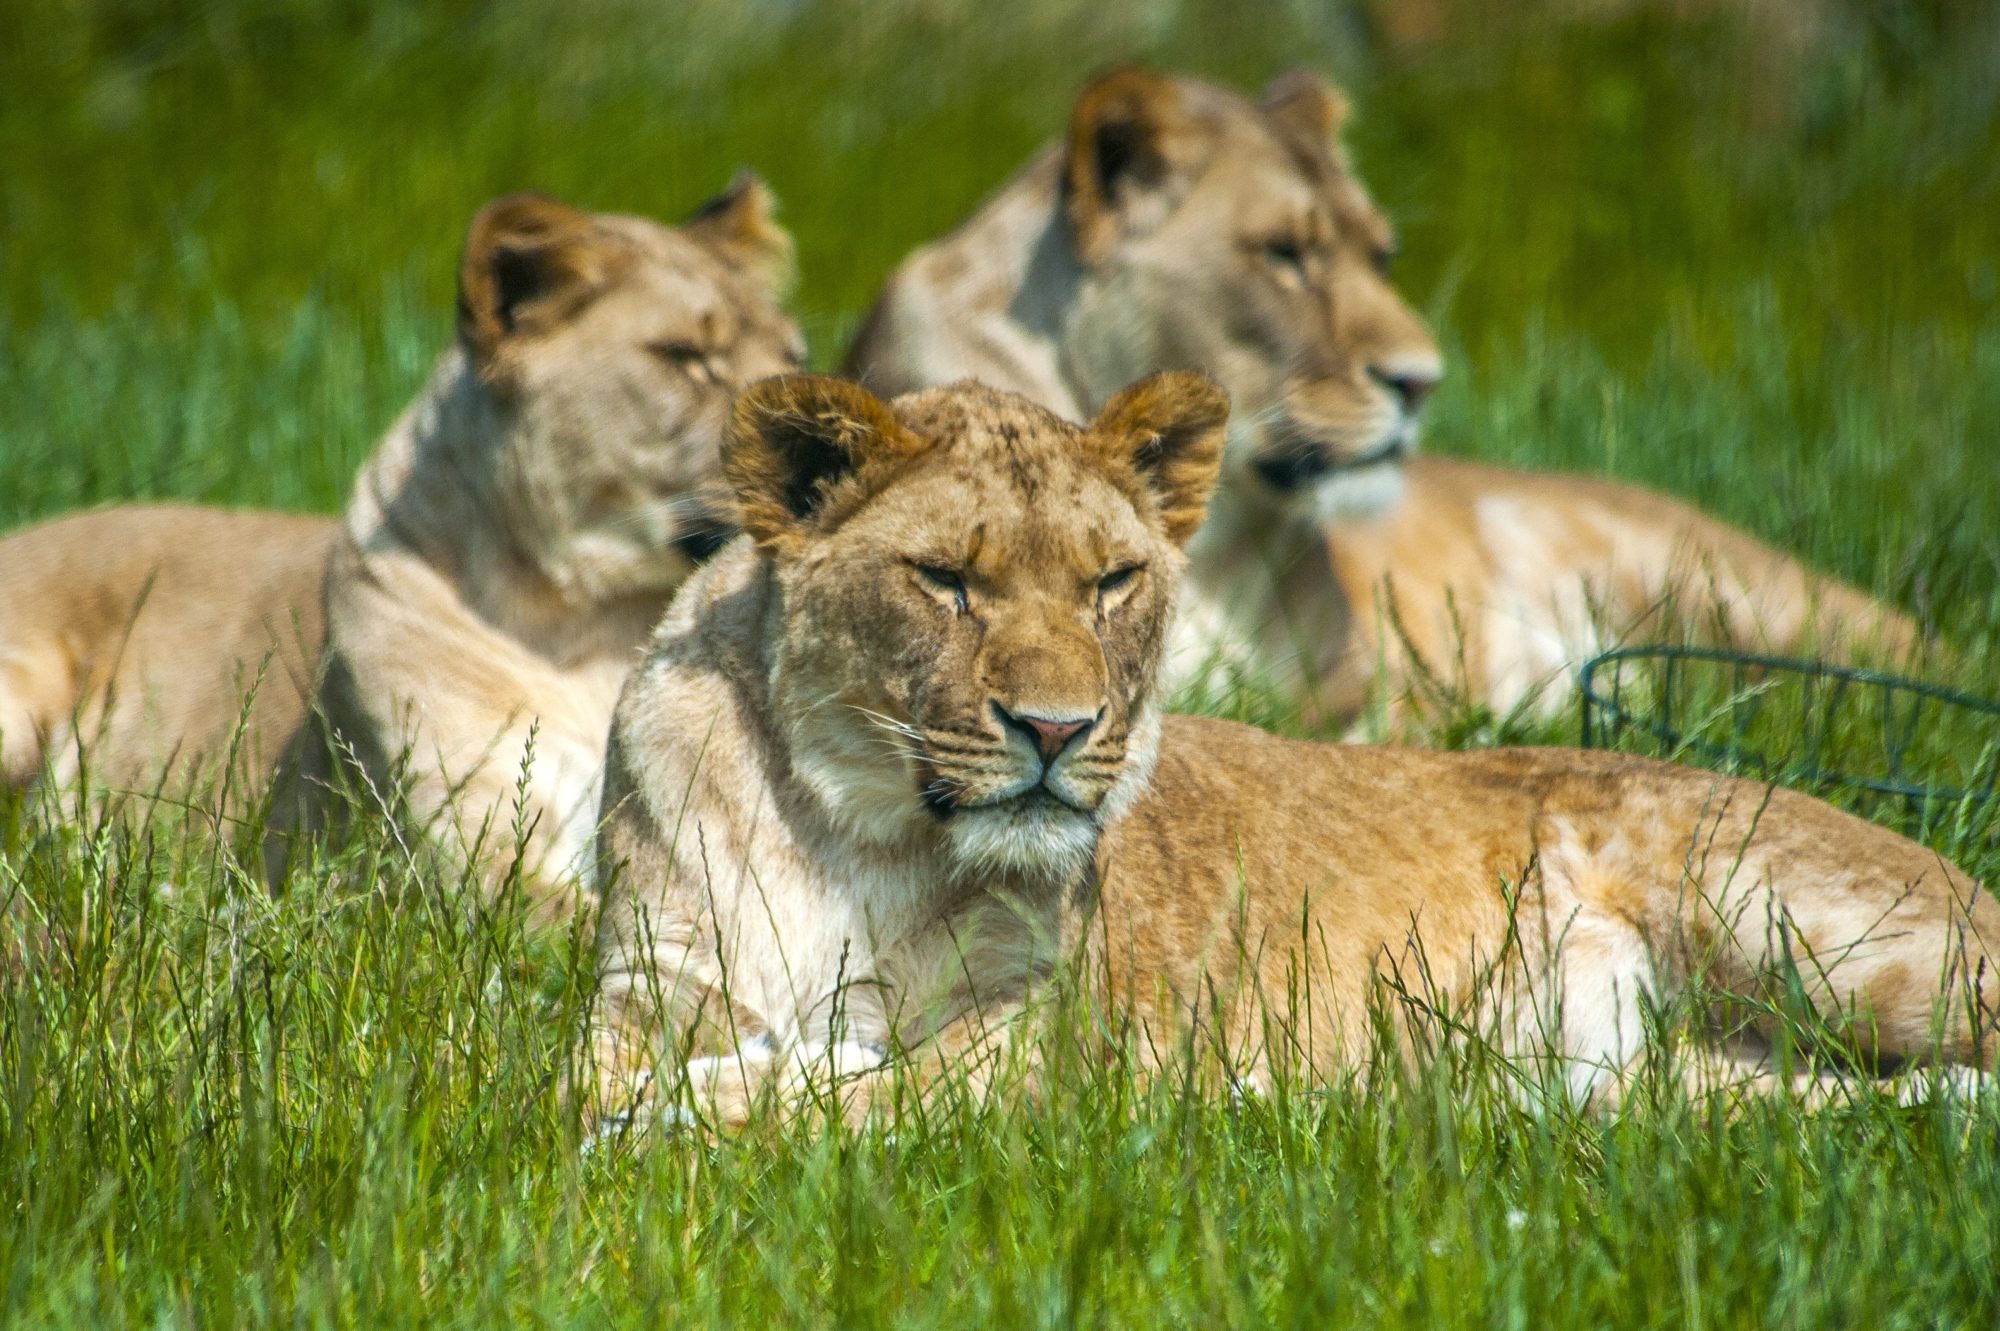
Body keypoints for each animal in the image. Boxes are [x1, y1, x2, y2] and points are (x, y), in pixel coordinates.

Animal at [580, 373, 1984, 1127]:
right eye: (943, 579)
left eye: (1111, 582)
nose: (1057, 730)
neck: (852, 827)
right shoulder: (643, 981)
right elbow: (572, 1083)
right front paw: (680, 1093)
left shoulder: (1047, 1038)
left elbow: (870, 1092)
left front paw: (713, 1100)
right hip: (1661, 1086)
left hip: (1805, 923)